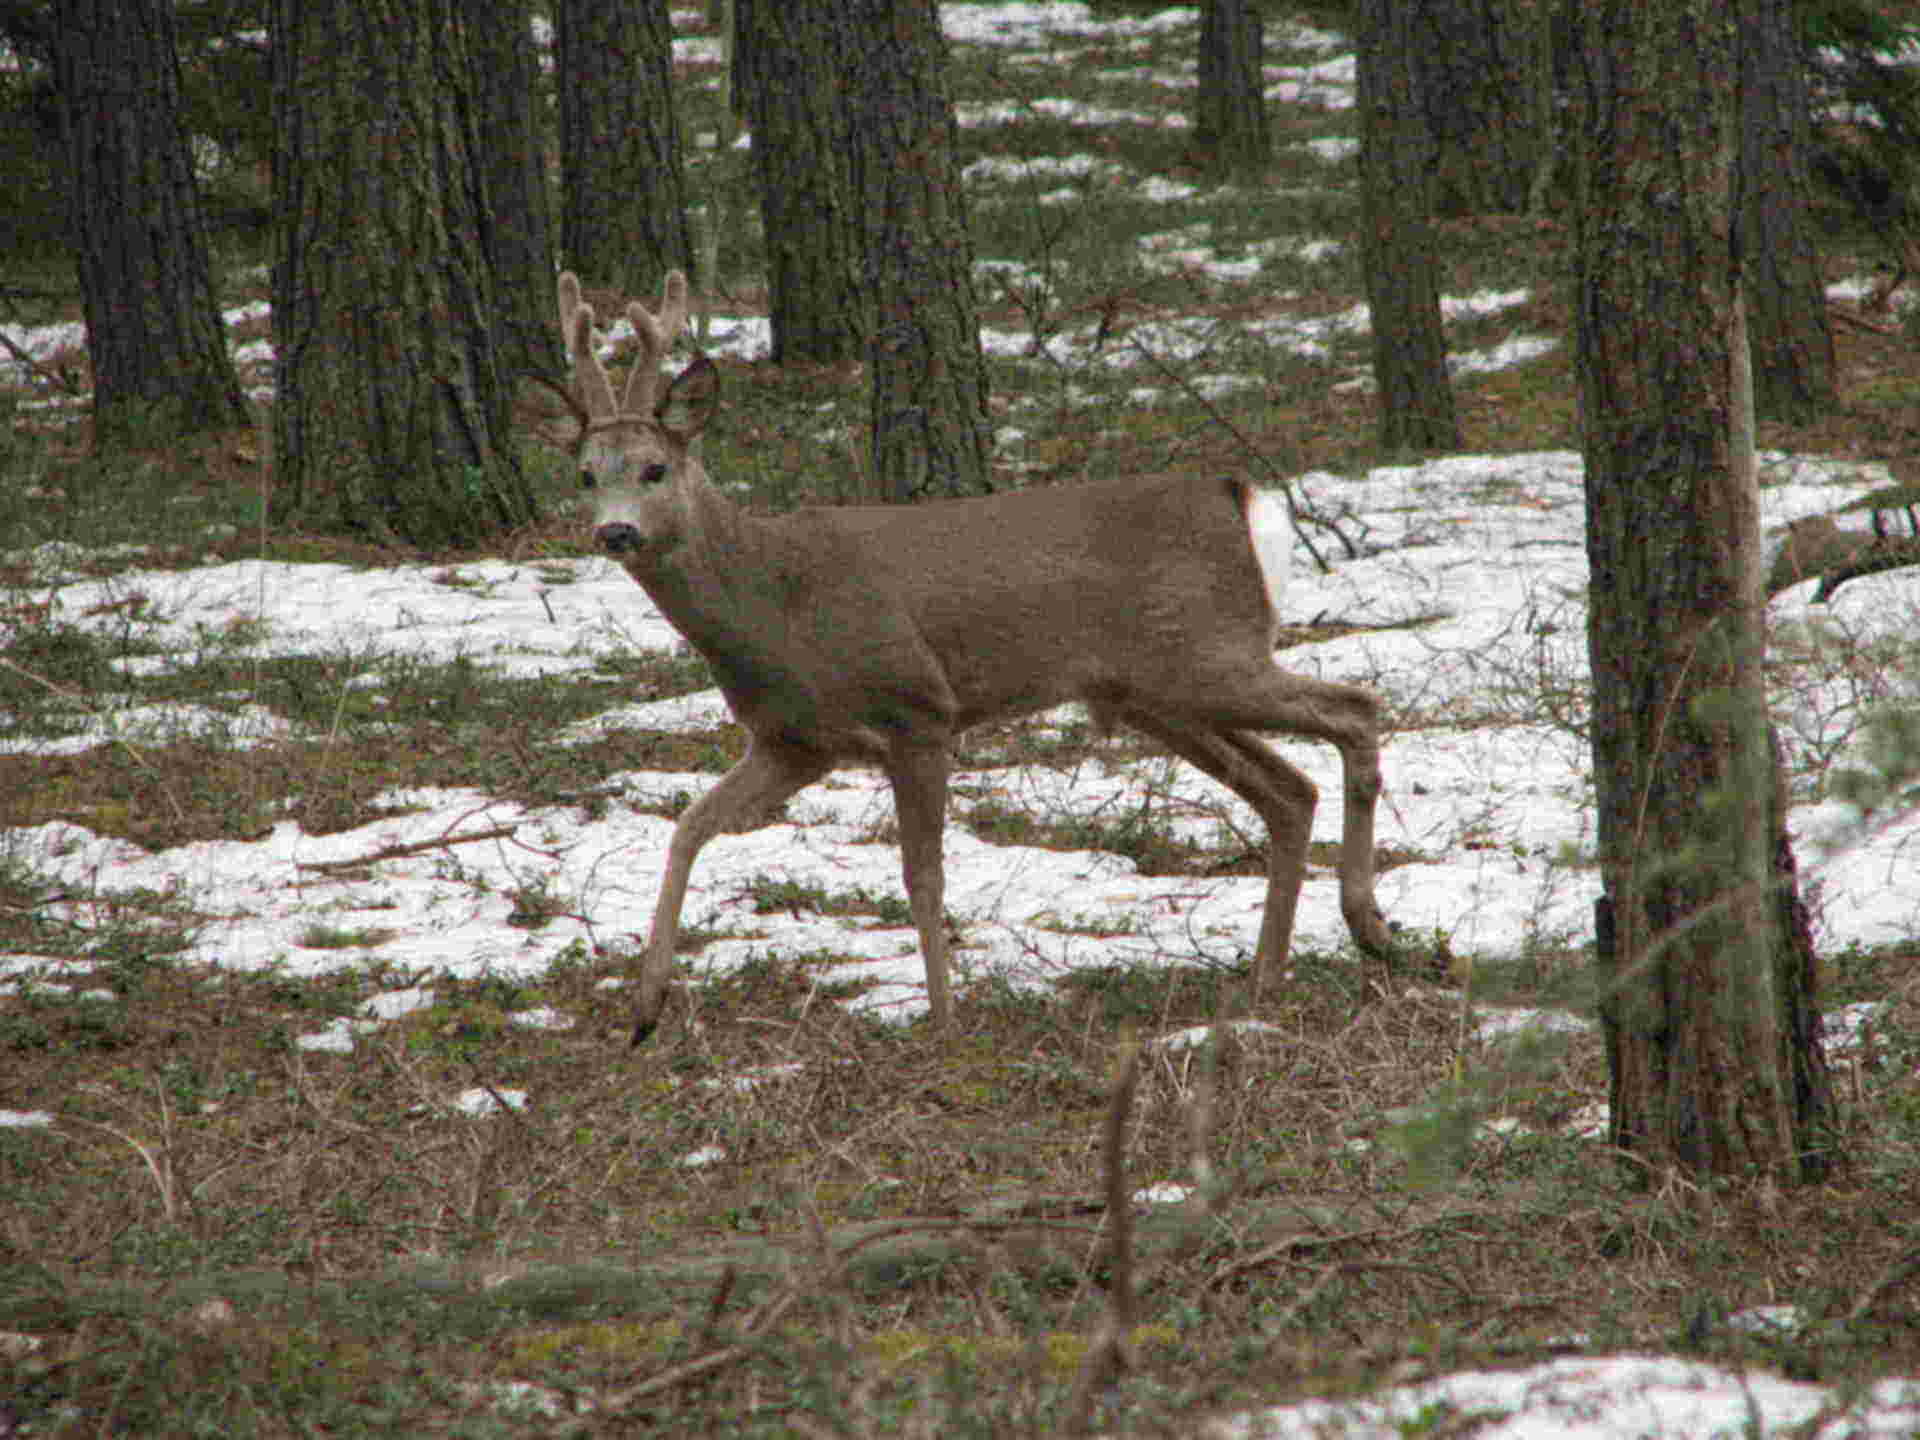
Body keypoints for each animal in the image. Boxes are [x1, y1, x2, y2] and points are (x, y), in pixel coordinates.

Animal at [560, 270, 1397, 1044]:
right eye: (586, 474)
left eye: (655, 469)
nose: (615, 531)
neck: (773, 600)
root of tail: (1238, 495)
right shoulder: (795, 743)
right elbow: (687, 828)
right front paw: (645, 1009)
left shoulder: (919, 709)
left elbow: (922, 874)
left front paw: (943, 1017)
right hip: (1158, 695)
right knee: (1288, 789)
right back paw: (1268, 976)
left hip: (1207, 659)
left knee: (1358, 709)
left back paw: (1368, 928)